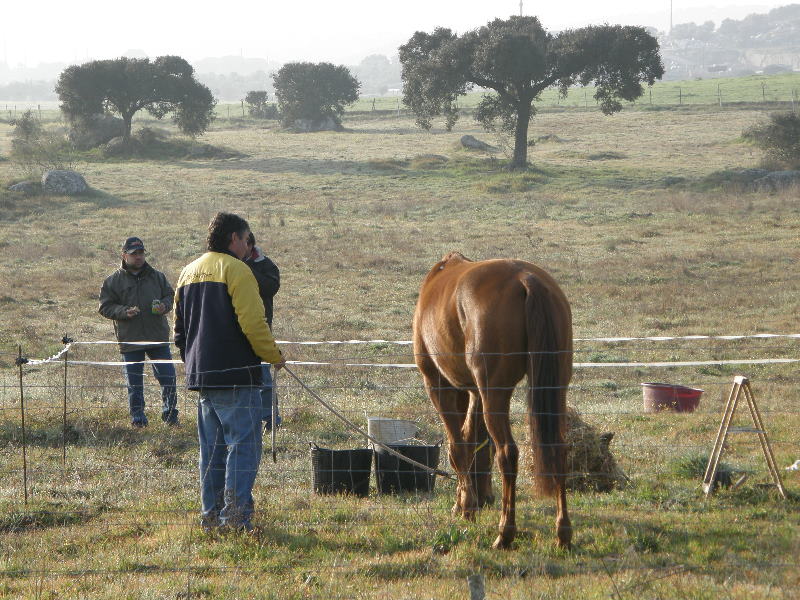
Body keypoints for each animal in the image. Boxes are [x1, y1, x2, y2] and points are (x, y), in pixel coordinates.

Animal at [416, 252, 572, 548]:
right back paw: (563, 533)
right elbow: (473, 442)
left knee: (507, 453)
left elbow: (458, 448)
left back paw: (505, 533)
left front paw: (466, 507)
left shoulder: (439, 385)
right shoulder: (475, 393)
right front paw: (467, 502)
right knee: (558, 449)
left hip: (494, 394)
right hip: (555, 388)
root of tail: (525, 278)